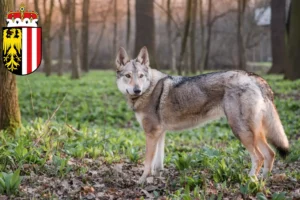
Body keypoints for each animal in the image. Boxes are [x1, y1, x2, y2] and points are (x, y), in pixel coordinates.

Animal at [115, 46, 288, 184]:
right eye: (128, 76)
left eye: (141, 76)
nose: (137, 90)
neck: (148, 90)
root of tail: (254, 77)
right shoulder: (160, 133)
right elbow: (158, 162)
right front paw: (156, 178)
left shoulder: (151, 133)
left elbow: (147, 163)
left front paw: (142, 181)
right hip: (255, 133)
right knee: (270, 154)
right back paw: (262, 182)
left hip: (241, 131)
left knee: (259, 157)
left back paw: (249, 181)